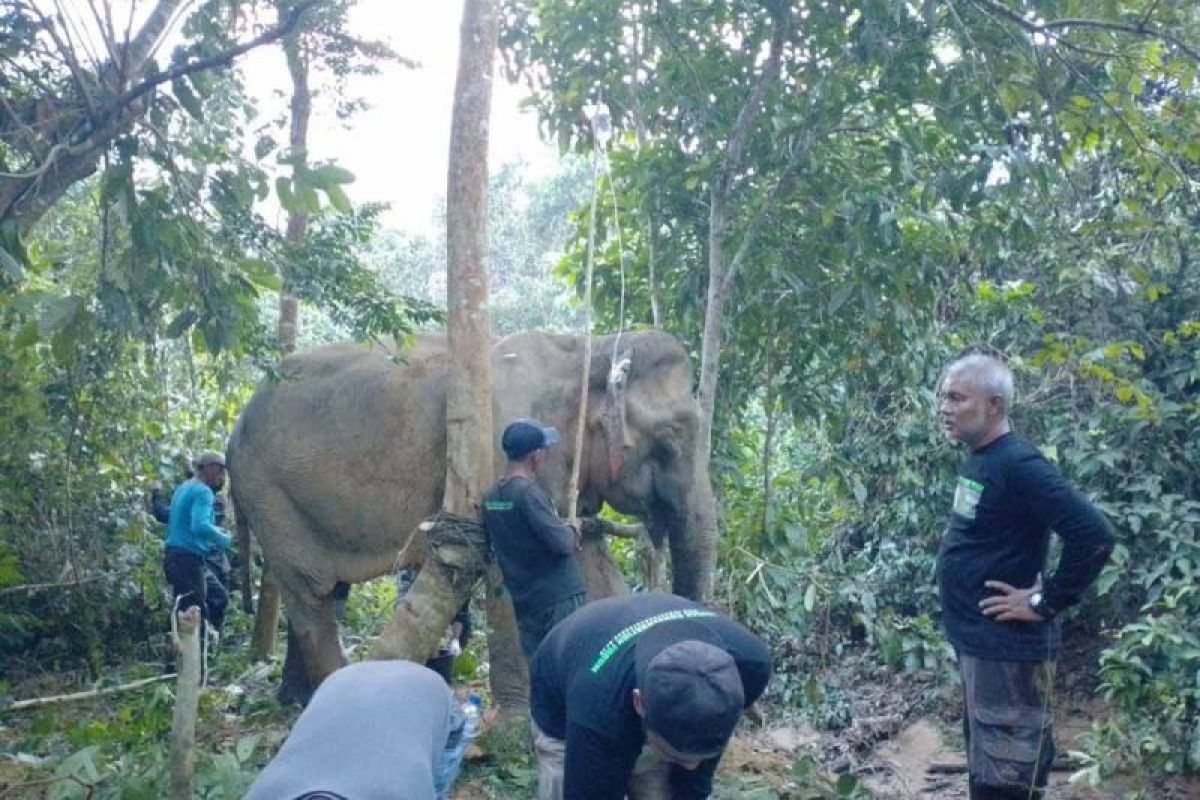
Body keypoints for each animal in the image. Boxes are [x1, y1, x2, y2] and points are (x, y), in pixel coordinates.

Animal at [229, 331, 720, 705]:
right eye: (670, 439)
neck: (586, 350)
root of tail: (236, 425)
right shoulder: (500, 449)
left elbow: (590, 566)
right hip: (268, 492)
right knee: (310, 591)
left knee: (325, 592)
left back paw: (293, 700)